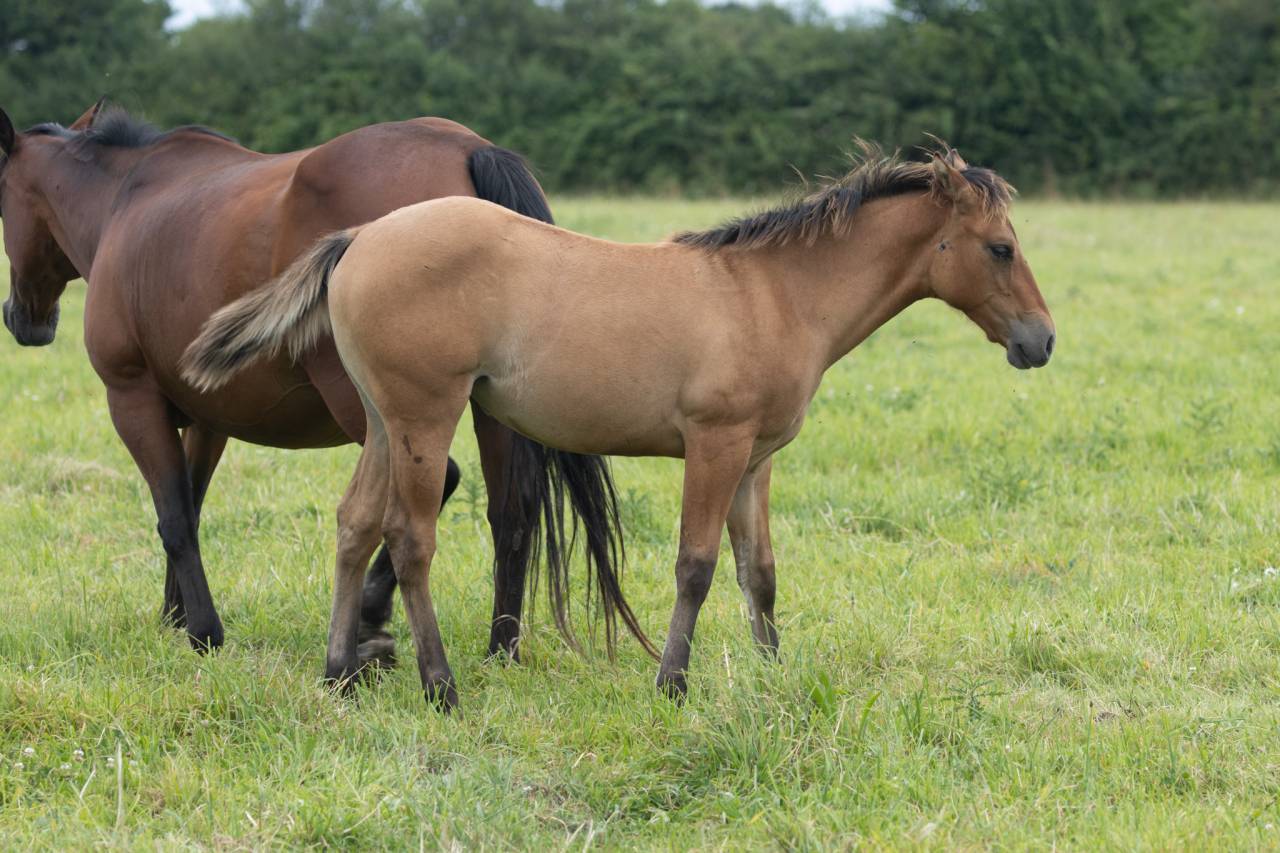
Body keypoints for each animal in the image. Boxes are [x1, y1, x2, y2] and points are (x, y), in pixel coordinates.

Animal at [0, 100, 645, 663]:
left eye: (2, 205)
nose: (23, 319)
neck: (125, 202)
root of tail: (468, 149)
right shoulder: (209, 420)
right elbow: (191, 504)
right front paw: (175, 615)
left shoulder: (131, 399)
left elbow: (175, 517)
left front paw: (202, 631)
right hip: (491, 410)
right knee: (511, 514)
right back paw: (499, 650)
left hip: (380, 411)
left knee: (433, 492)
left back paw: (371, 619)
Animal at [183, 144, 1055, 710]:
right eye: (1000, 248)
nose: (1040, 342)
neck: (772, 293)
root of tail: (362, 237)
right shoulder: (714, 444)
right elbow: (697, 566)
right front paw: (672, 684)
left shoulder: (757, 459)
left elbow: (760, 570)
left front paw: (773, 672)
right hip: (424, 416)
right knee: (409, 536)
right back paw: (440, 687)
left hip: (380, 420)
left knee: (355, 522)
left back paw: (337, 671)